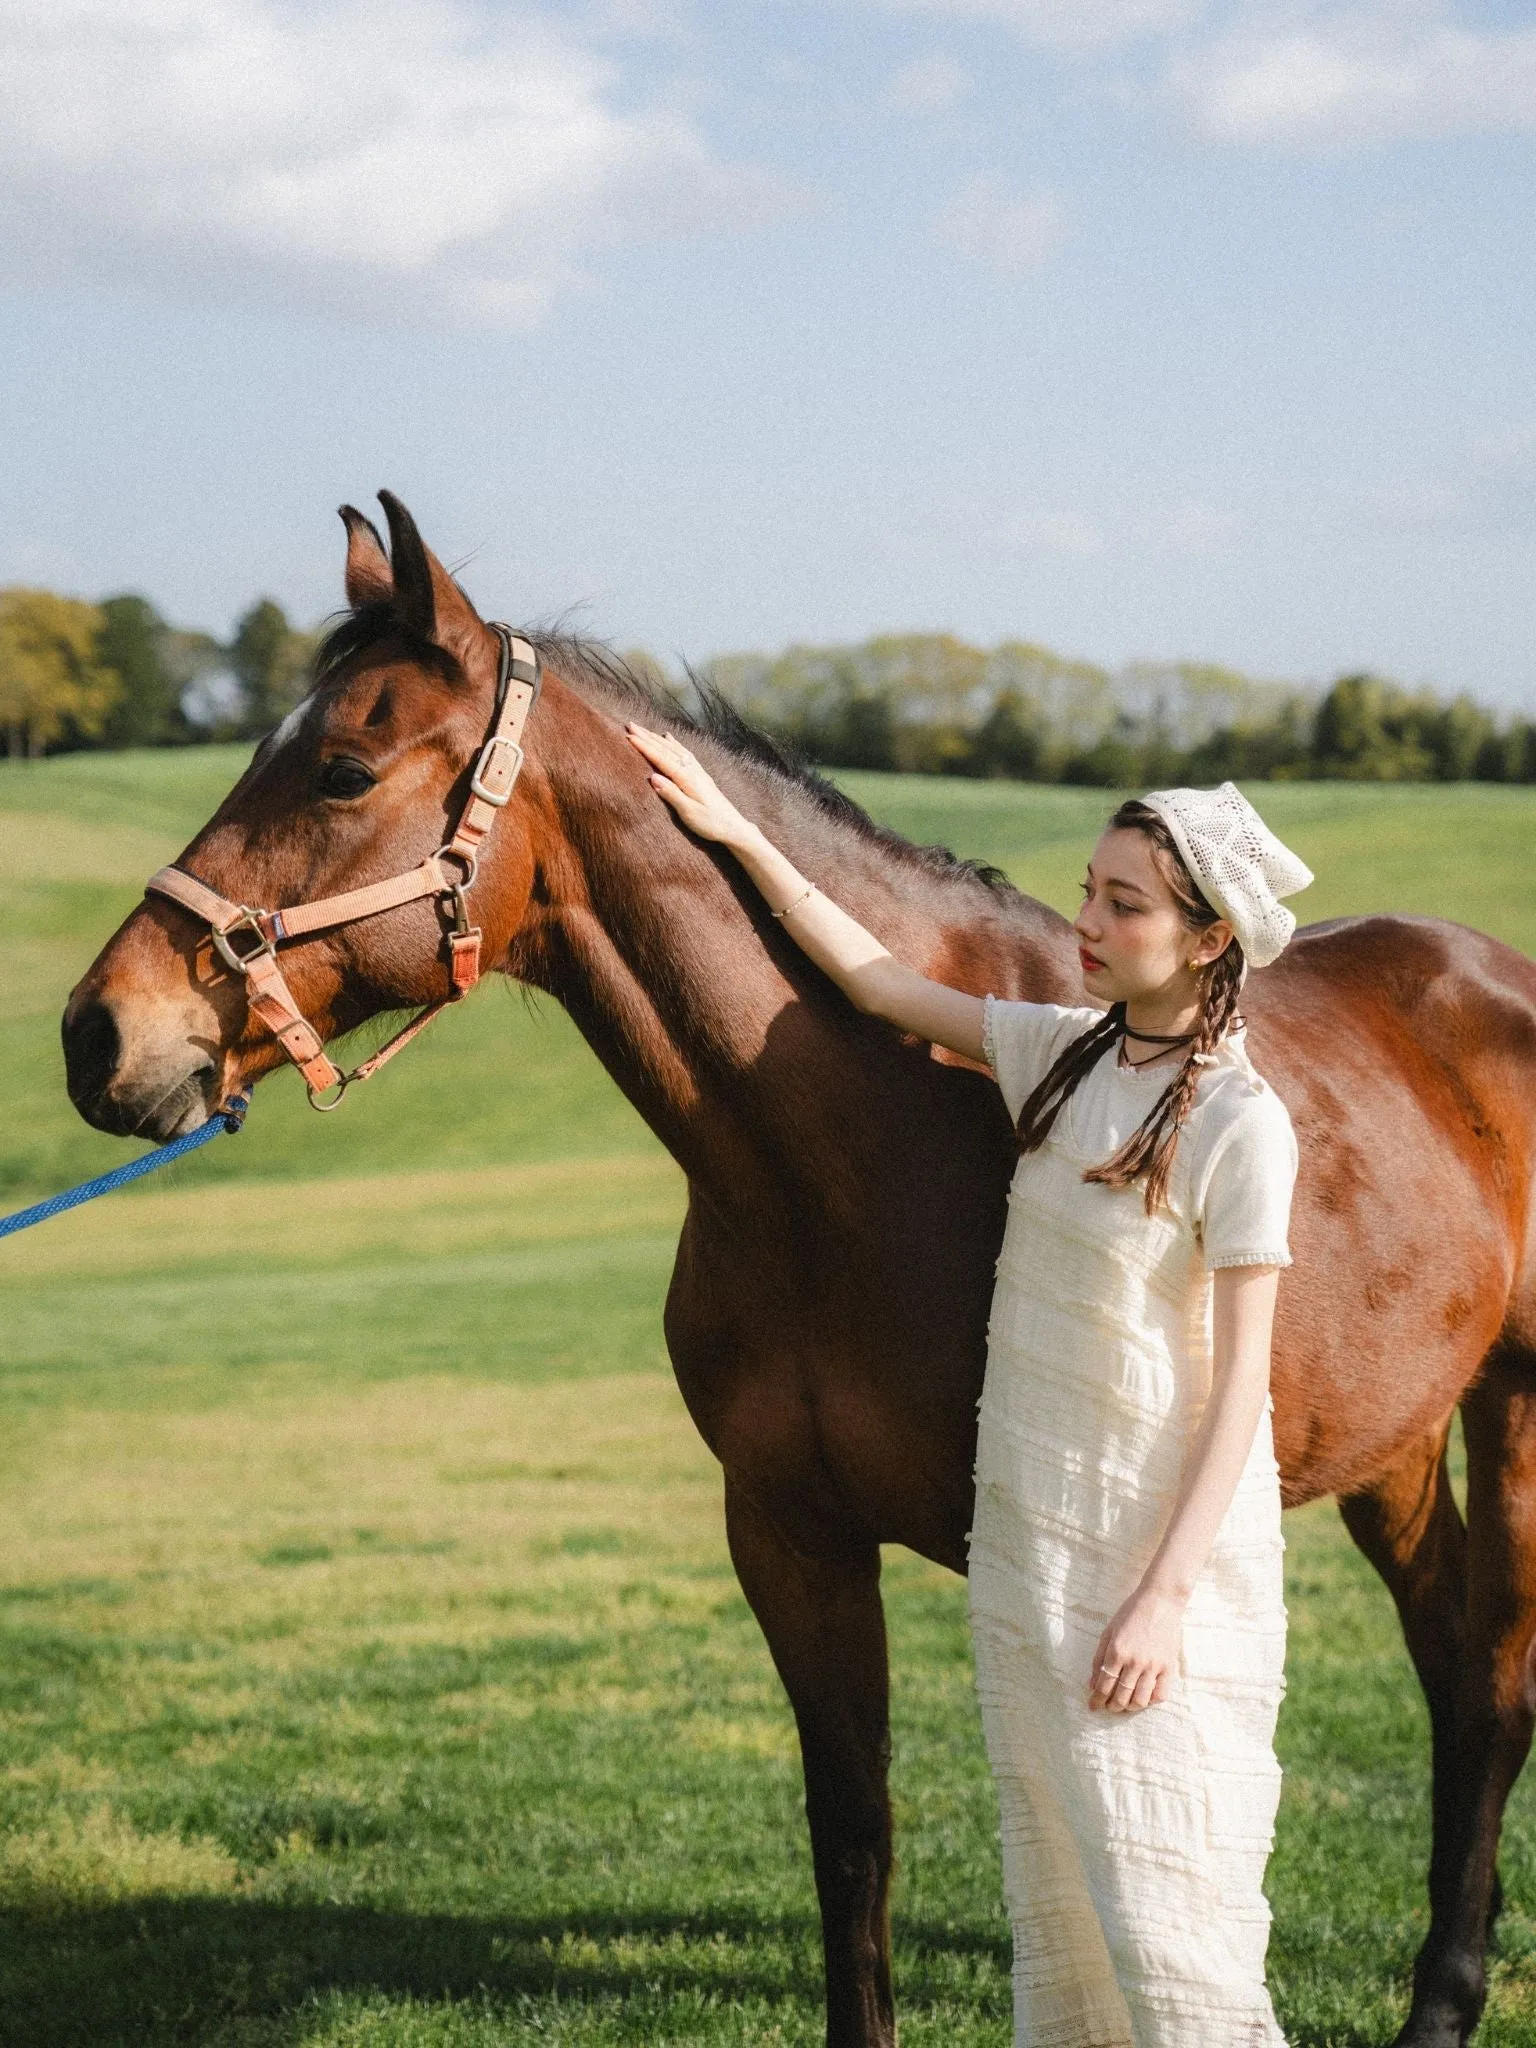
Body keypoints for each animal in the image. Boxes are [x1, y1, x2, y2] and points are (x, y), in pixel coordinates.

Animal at [66, 495, 1536, 2048]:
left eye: (341, 768)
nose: (98, 1033)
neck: (858, 1133)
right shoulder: (787, 1533)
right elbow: (853, 1835)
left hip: (1506, 1414)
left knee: (1494, 1689)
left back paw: (1443, 1999)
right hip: (1386, 1446)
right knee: (1449, 1657)